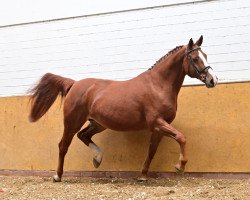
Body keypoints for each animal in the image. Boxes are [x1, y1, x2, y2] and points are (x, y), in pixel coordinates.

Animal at [28, 35, 217, 181]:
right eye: (195, 58)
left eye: (206, 55)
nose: (213, 80)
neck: (158, 85)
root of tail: (74, 84)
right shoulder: (157, 122)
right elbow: (181, 137)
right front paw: (180, 166)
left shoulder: (159, 128)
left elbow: (152, 151)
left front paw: (143, 176)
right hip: (72, 122)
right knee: (63, 145)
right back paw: (58, 176)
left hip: (98, 123)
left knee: (83, 136)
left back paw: (97, 159)